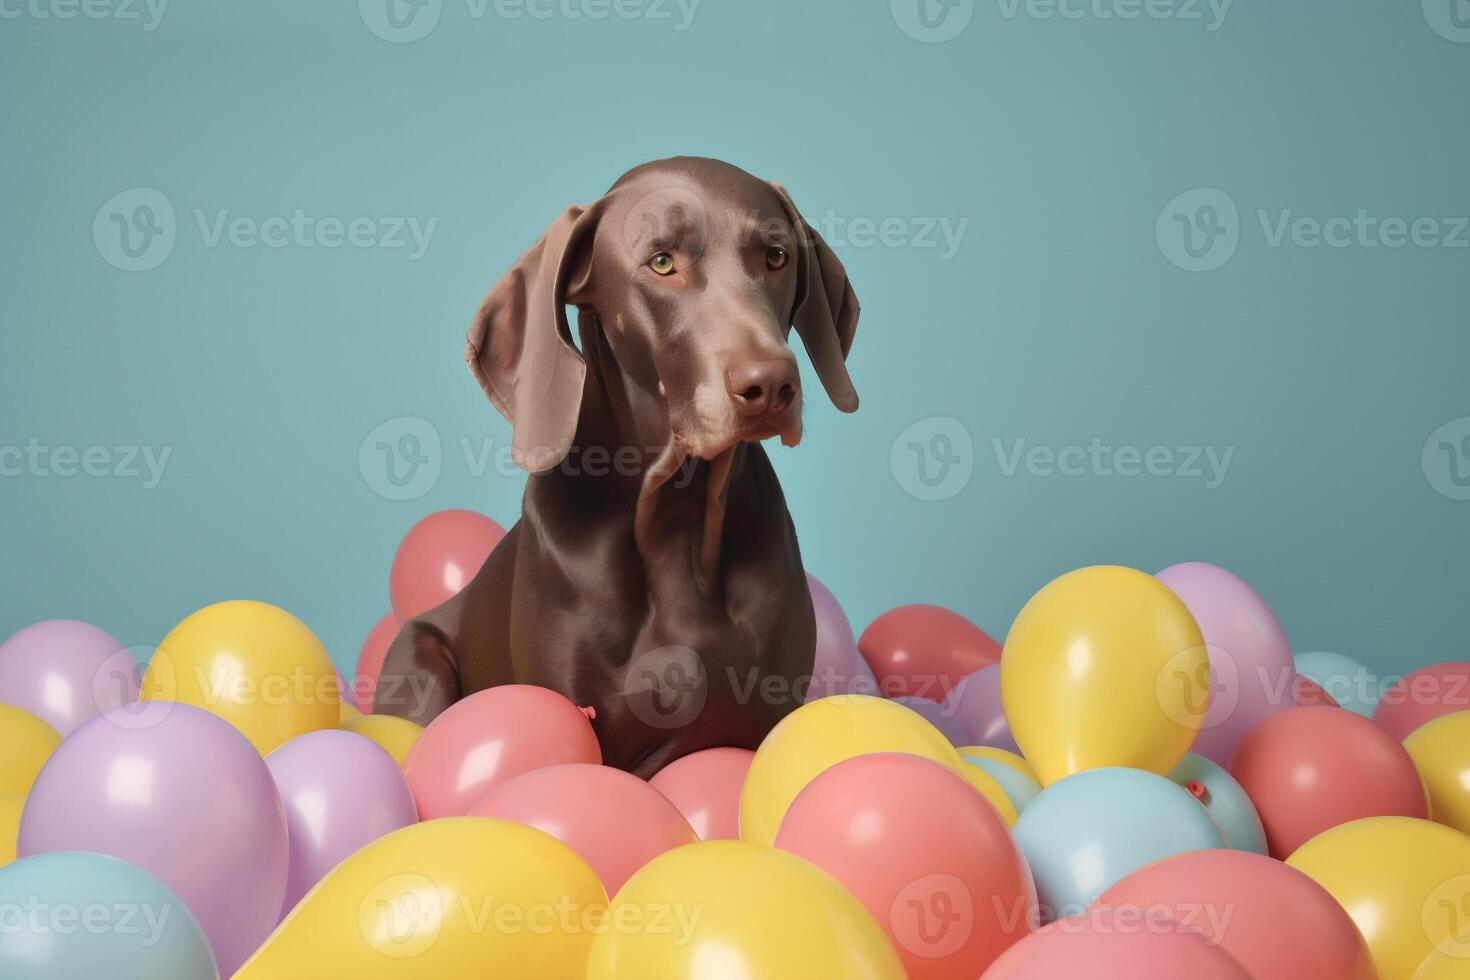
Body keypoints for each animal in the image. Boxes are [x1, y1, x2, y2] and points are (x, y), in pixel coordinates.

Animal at [376, 157, 858, 775]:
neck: (676, 518)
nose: (771, 385)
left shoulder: (762, 717)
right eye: (662, 262)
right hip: (418, 658)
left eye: (776, 257)